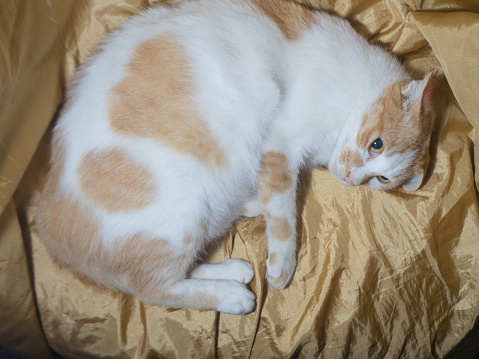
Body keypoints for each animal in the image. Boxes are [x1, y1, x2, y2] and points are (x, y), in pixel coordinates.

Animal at [35, 0, 436, 316]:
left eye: (383, 179)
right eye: (377, 144)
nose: (353, 179)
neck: (354, 92)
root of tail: (48, 229)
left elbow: (276, 197)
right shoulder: (279, 142)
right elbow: (284, 211)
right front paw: (282, 265)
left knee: (164, 274)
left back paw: (232, 266)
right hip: (181, 213)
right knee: (149, 288)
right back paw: (231, 296)